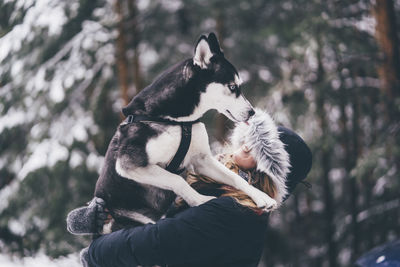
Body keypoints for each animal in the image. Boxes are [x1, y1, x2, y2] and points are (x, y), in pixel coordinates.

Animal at [93, 33, 278, 233]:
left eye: (239, 86)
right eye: (232, 87)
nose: (252, 112)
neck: (179, 121)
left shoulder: (202, 160)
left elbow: (236, 178)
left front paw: (261, 196)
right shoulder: (129, 164)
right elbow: (176, 180)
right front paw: (201, 200)